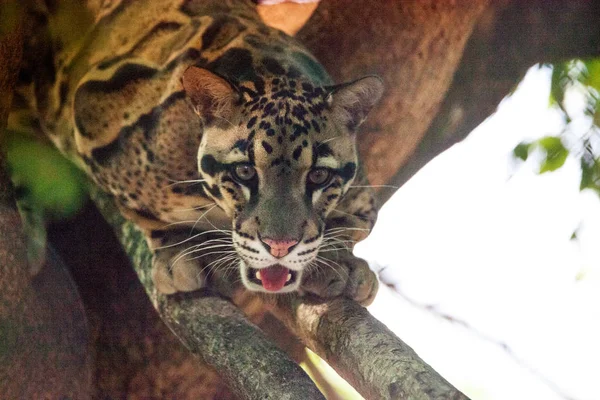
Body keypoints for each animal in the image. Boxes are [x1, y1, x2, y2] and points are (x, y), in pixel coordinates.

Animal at [11, 0, 382, 304]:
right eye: (244, 172)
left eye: (318, 176)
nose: (279, 247)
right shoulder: (88, 114)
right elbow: (146, 215)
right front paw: (179, 248)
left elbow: (357, 225)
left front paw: (338, 259)